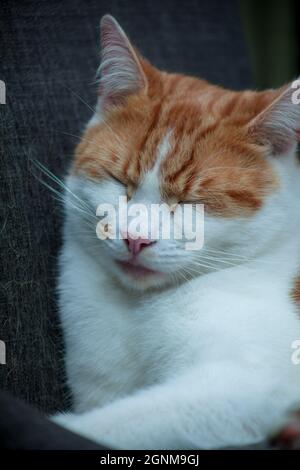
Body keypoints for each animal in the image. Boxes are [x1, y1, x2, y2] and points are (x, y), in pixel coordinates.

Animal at [52, 13, 300, 448]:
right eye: (121, 182)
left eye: (191, 201)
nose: (136, 239)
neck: (137, 308)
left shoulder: (247, 383)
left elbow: (116, 424)